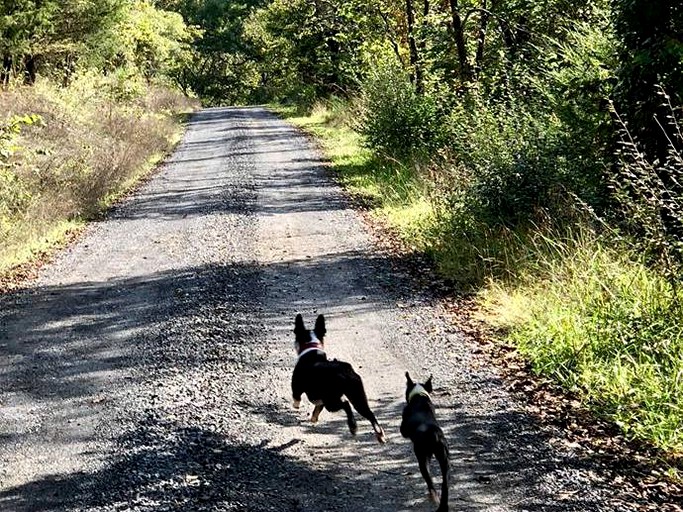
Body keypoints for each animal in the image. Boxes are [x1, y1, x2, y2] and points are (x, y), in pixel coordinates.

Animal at [290, 314, 388, 442]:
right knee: (369, 413)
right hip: (357, 397)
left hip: (331, 401)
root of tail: (345, 371)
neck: (312, 349)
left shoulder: (296, 386)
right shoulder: (320, 400)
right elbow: (317, 409)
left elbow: (296, 398)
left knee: (346, 404)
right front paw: (314, 418)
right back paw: (380, 434)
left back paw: (353, 427)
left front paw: (296, 406)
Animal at [400, 372, 448, 512]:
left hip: (422, 458)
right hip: (444, 459)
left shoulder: (403, 428)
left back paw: (433, 498)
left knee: (430, 482)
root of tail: (434, 435)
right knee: (444, 483)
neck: (419, 396)